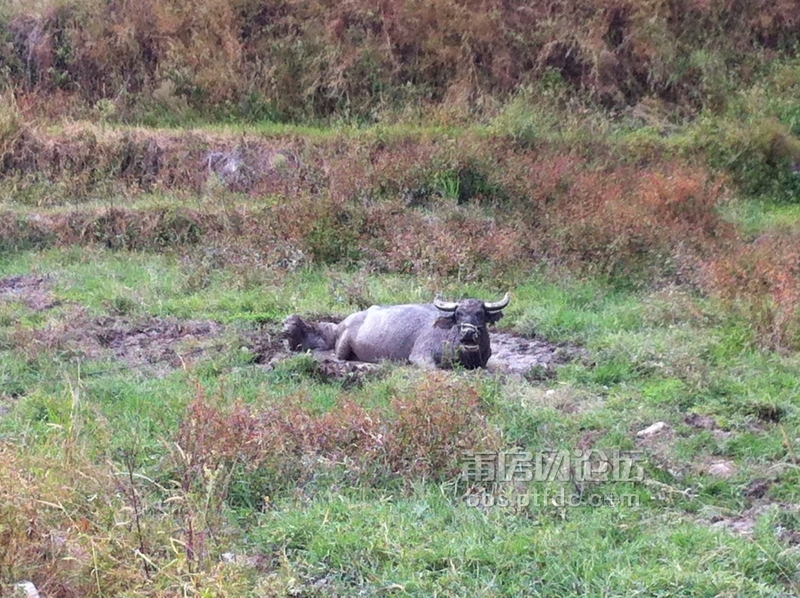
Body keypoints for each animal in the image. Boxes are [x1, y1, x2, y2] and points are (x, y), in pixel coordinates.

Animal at [284, 292, 510, 368]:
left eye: (480, 313)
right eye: (459, 314)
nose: (468, 333)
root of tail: (342, 323)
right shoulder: (420, 356)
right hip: (342, 347)